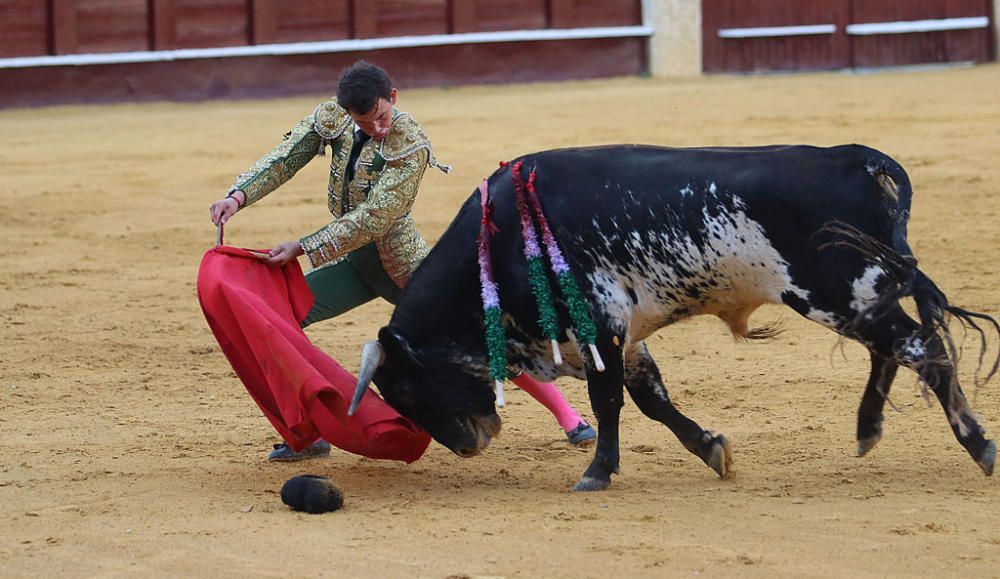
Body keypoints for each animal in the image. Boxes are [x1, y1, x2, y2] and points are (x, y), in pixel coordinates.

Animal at [348, 144, 996, 490]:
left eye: (406, 388)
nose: (469, 446)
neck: (498, 242)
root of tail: (857, 160)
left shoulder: (600, 324)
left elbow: (610, 401)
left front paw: (597, 472)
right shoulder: (622, 335)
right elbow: (650, 398)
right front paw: (711, 448)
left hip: (841, 295)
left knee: (922, 348)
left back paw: (978, 445)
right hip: (860, 297)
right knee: (896, 349)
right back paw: (867, 430)